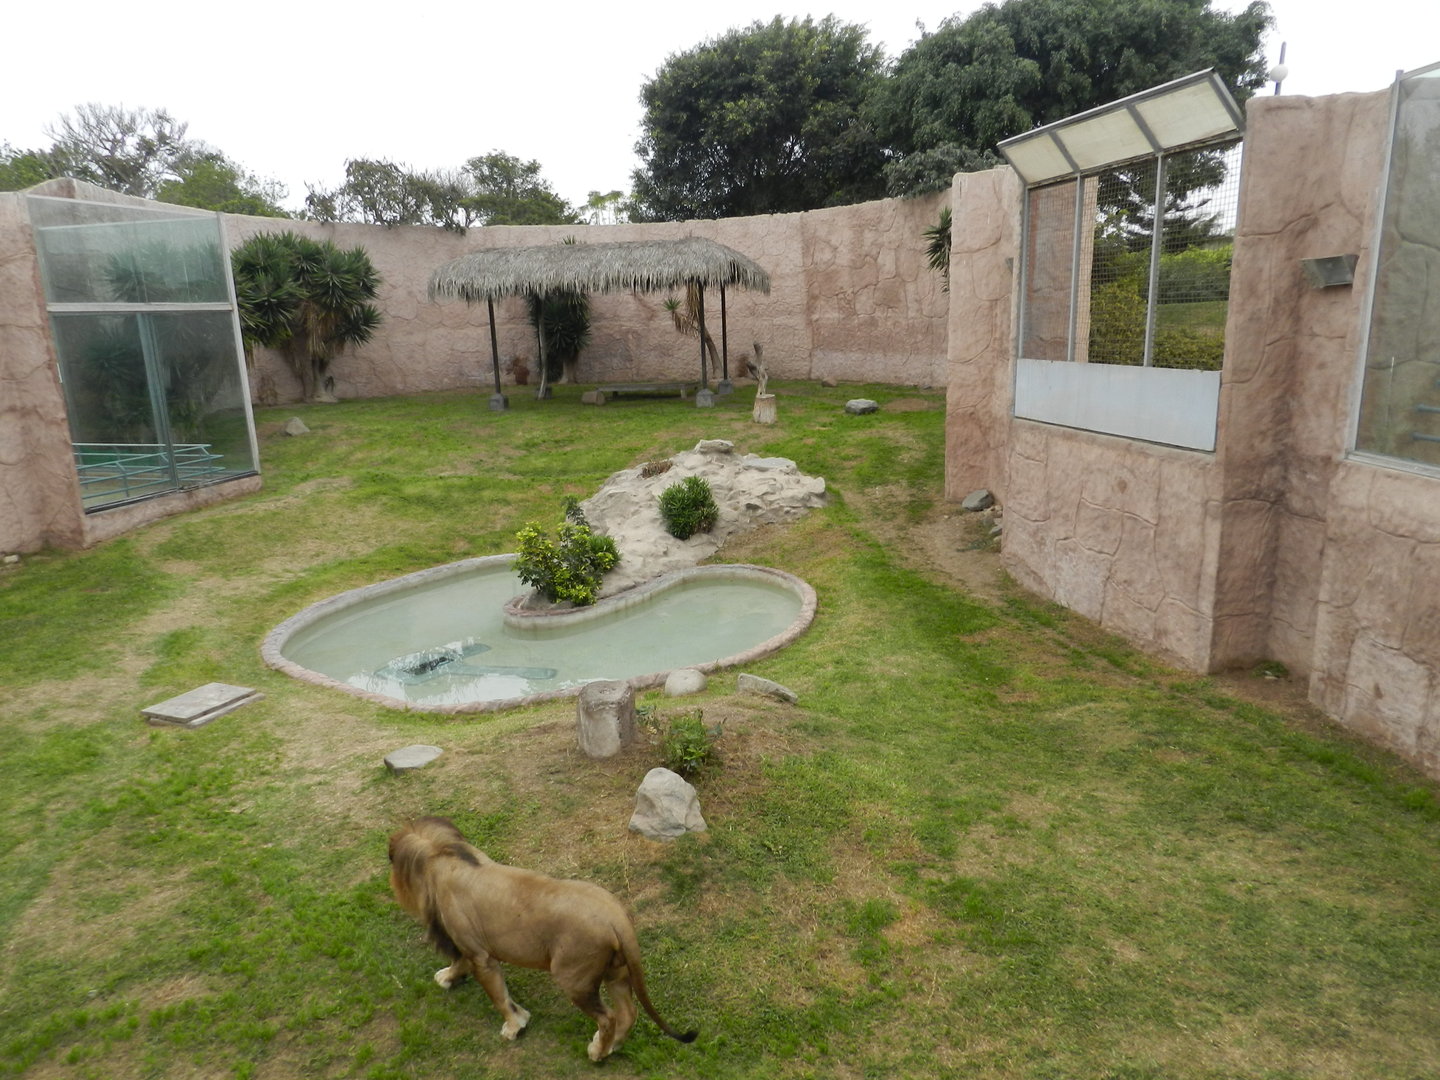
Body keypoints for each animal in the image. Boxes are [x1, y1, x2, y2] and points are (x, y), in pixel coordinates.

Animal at [387, 816, 698, 1061]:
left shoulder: (480, 956)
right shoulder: (469, 949)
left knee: (608, 1017)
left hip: (572, 977)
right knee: (628, 1012)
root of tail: (616, 916)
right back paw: (610, 1047)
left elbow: (499, 997)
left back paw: (597, 1053)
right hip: (616, 971)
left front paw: (514, 1027)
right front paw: (447, 978)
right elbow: (461, 966)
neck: (445, 855)